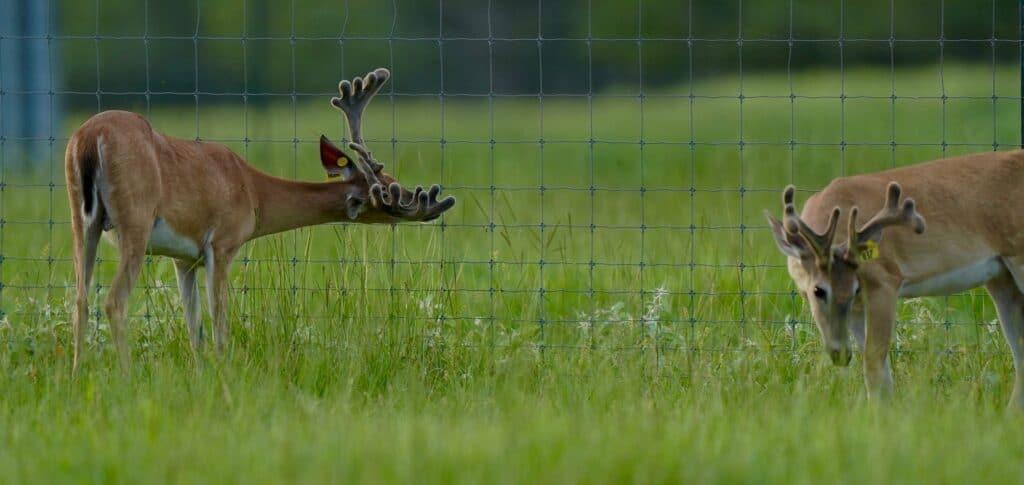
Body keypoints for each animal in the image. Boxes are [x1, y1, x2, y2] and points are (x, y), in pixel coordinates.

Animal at [64, 67, 455, 371]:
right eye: (389, 192)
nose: (430, 204)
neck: (253, 192)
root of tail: (89, 139)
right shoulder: (222, 242)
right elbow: (219, 323)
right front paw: (223, 373)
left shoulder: (183, 259)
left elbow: (195, 330)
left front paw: (202, 375)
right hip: (136, 220)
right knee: (113, 300)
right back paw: (125, 376)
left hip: (81, 221)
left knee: (81, 298)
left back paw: (77, 373)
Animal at [766, 150, 1024, 409]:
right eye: (818, 291)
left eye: (853, 290)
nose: (841, 355)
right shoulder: (858, 307)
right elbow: (877, 365)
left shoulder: (885, 280)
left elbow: (874, 359)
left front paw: (878, 413)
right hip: (1001, 279)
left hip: (1018, 260)